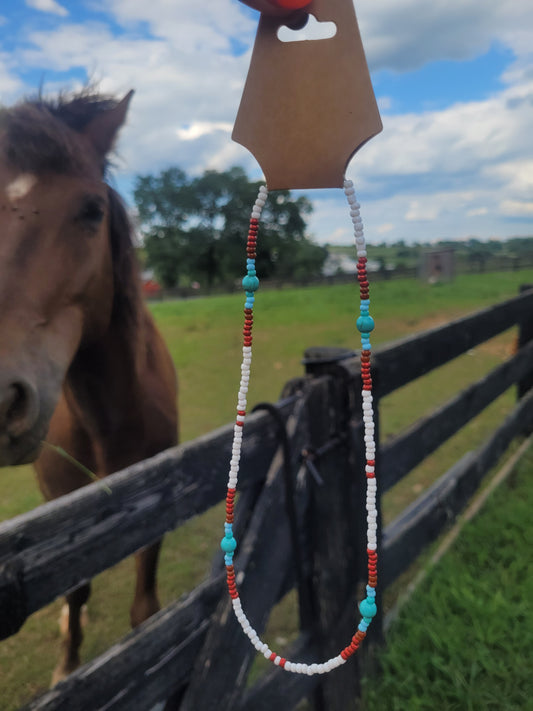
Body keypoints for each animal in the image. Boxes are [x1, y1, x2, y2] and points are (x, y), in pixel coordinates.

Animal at [0, 90, 179, 684]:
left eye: (92, 211)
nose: (2, 397)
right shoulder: (62, 505)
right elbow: (74, 591)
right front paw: (66, 668)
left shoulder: (158, 494)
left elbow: (146, 605)